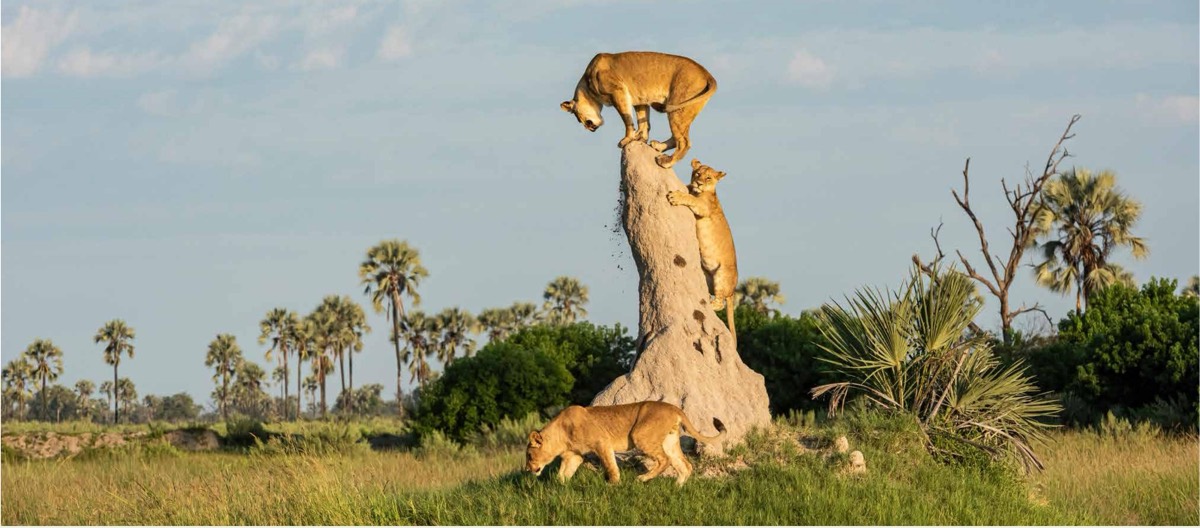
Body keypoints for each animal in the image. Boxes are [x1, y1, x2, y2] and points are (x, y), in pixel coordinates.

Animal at [525, 401, 725, 486]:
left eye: (529, 455)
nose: (527, 469)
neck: (560, 434)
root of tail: (675, 408)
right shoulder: (573, 456)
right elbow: (562, 474)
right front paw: (559, 488)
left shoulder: (602, 442)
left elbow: (610, 466)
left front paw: (613, 485)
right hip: (669, 441)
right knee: (685, 465)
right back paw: (676, 487)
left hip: (640, 435)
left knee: (665, 460)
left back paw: (642, 479)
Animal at [560, 51, 717, 169]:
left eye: (578, 118)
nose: (590, 128)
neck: (587, 85)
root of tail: (707, 74)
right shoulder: (640, 100)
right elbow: (643, 121)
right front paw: (640, 138)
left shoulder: (618, 91)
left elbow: (626, 118)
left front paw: (627, 139)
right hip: (684, 110)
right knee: (677, 136)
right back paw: (658, 146)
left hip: (678, 105)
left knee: (684, 142)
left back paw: (666, 162)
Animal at [667, 159, 739, 345]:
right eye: (697, 174)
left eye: (708, 178)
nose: (699, 183)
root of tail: (733, 291)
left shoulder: (703, 207)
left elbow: (691, 198)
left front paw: (676, 196)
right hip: (706, 276)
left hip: (722, 274)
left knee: (720, 302)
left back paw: (710, 303)